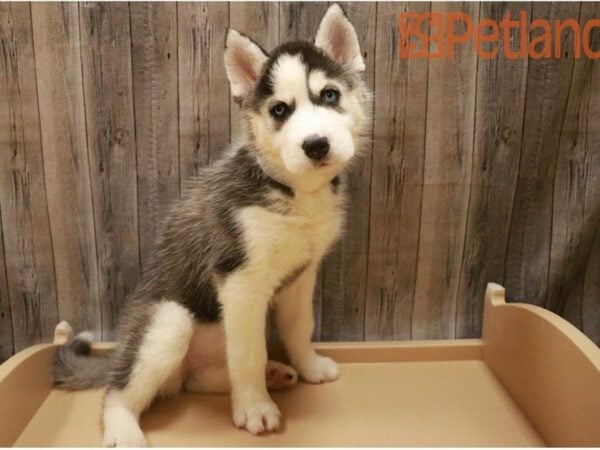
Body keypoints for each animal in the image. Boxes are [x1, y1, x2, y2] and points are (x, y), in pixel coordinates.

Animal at [54, 3, 370, 446]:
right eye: (280, 110)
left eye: (330, 95)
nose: (316, 145)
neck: (293, 191)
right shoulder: (239, 281)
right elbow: (249, 353)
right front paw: (255, 409)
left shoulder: (302, 274)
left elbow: (298, 326)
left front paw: (309, 367)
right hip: (167, 323)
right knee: (119, 391)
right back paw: (123, 428)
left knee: (194, 381)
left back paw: (274, 373)